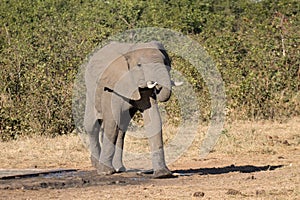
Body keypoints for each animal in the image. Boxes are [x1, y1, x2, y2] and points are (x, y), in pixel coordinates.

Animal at [83, 40, 175, 178]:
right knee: (93, 126)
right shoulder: (112, 85)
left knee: (121, 130)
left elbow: (154, 120)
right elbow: (111, 123)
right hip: (91, 91)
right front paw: (105, 172)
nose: (157, 86)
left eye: (166, 63)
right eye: (139, 65)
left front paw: (162, 174)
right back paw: (97, 164)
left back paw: (119, 168)